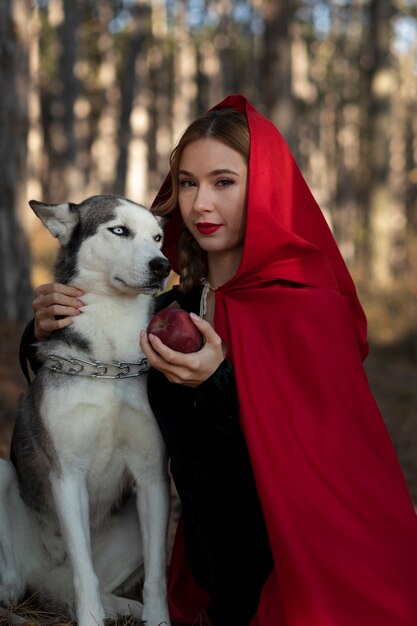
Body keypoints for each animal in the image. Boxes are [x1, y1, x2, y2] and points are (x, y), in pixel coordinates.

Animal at [0, 195, 172, 624]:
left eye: (158, 238)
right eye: (119, 230)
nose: (162, 265)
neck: (109, 364)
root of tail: (43, 576)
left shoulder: (152, 476)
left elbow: (157, 574)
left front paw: (158, 617)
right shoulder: (67, 475)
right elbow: (84, 571)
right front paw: (90, 618)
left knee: (66, 588)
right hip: (2, 473)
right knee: (32, 578)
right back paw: (10, 594)